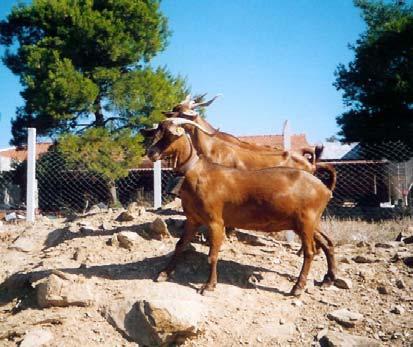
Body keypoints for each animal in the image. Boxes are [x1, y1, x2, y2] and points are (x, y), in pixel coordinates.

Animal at [144, 119, 334, 296]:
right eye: (156, 132)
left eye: (170, 134)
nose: (151, 153)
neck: (197, 173)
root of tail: (325, 189)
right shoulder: (193, 219)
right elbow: (180, 245)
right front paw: (164, 273)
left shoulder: (216, 221)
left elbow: (212, 255)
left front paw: (209, 285)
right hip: (308, 222)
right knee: (327, 243)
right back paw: (328, 279)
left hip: (306, 221)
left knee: (310, 252)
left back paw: (298, 287)